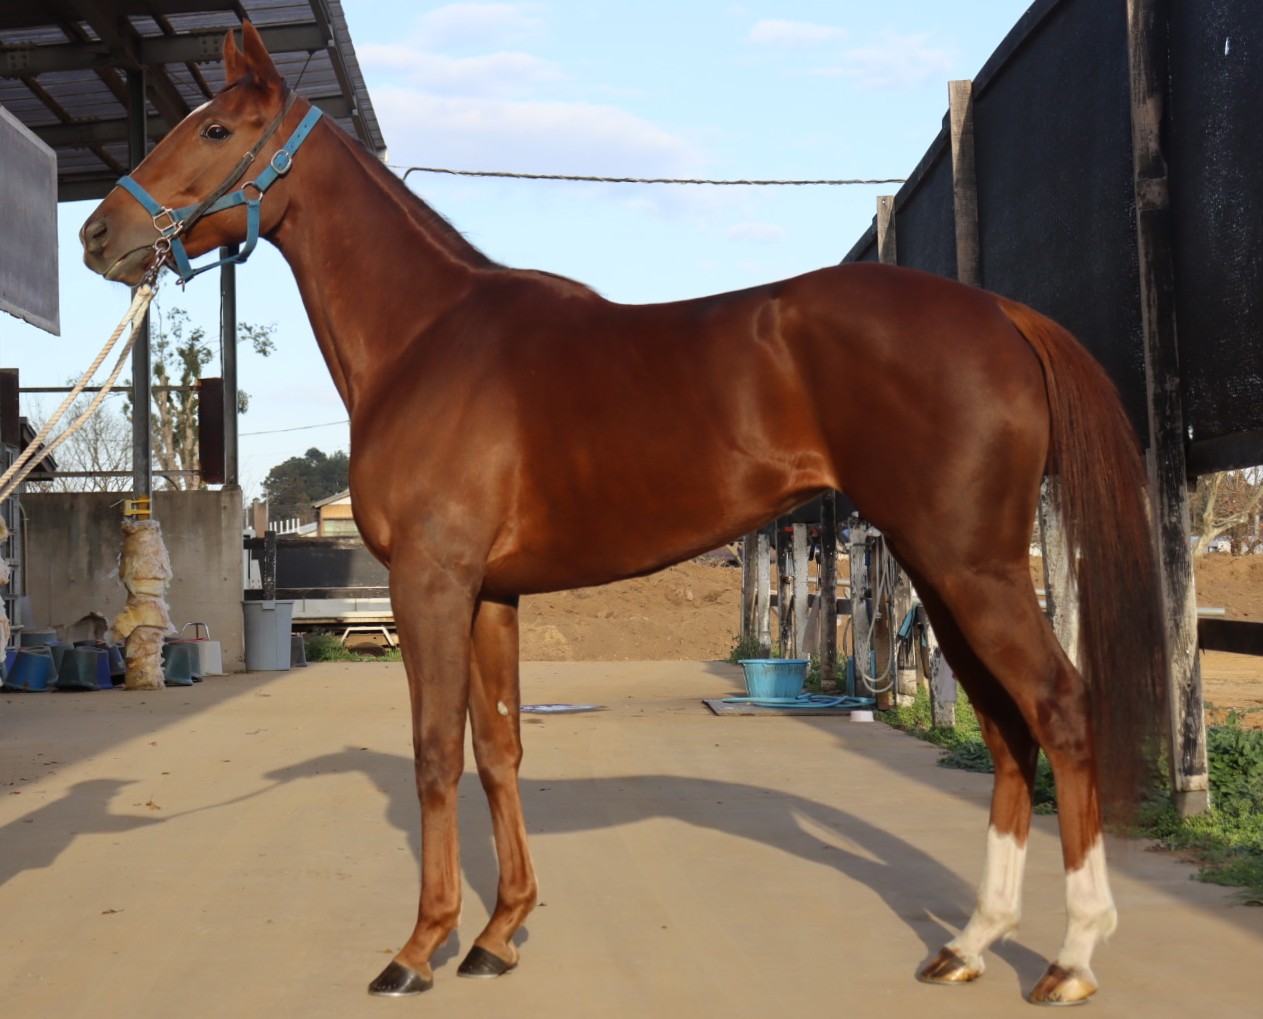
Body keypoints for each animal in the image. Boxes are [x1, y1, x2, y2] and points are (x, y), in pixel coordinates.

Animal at [80, 22, 1166, 1006]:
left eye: (216, 128)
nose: (99, 236)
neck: (426, 339)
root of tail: (1001, 315)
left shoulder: (431, 583)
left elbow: (435, 752)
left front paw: (420, 947)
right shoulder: (492, 595)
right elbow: (499, 747)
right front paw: (500, 933)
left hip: (971, 564)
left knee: (1059, 709)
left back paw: (1072, 957)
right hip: (941, 568)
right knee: (1004, 729)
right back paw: (971, 942)